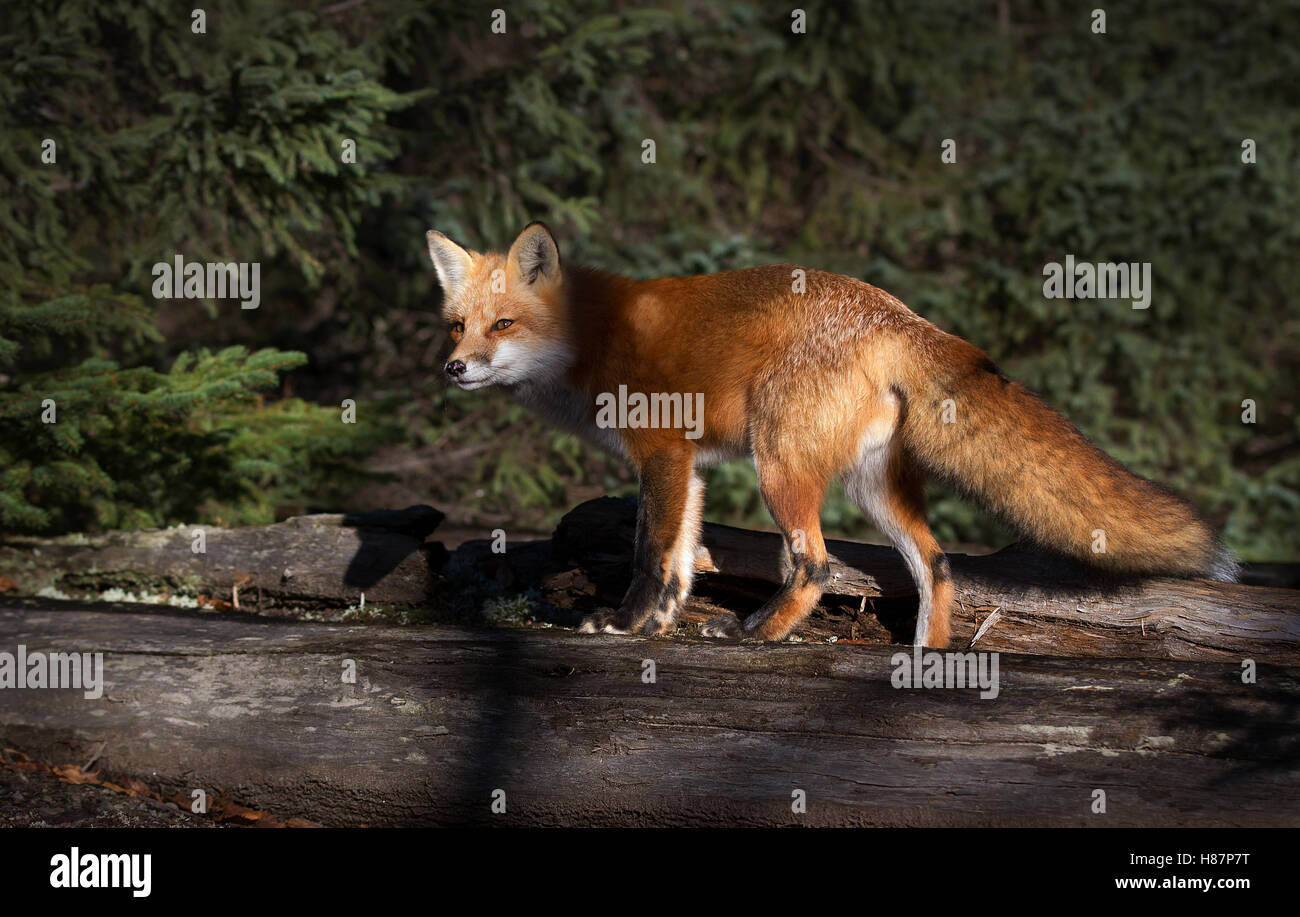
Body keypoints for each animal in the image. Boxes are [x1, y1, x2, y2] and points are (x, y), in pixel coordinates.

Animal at [427, 222, 1236, 647]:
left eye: (504, 324)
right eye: (456, 324)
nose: (454, 367)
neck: (591, 335)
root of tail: (899, 313)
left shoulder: (662, 454)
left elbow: (651, 556)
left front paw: (625, 625)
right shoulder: (688, 467)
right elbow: (680, 560)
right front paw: (656, 627)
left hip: (780, 464)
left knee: (816, 564)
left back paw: (761, 632)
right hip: (870, 485)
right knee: (938, 564)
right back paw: (926, 659)